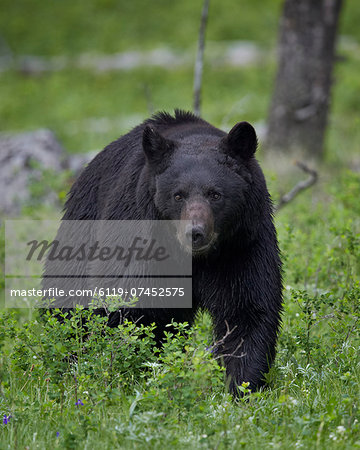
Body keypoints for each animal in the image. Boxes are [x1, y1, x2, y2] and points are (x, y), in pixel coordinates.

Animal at [59, 110, 282, 396]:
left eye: (215, 194)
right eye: (178, 195)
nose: (194, 233)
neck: (196, 259)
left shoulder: (242, 244)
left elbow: (247, 307)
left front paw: (242, 385)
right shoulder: (140, 241)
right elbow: (129, 307)